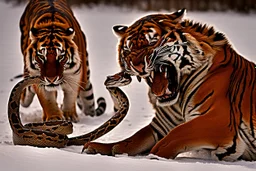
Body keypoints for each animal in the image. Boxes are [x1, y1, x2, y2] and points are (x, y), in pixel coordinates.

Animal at [84, 8, 256, 161]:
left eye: (152, 42)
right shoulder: (161, 126)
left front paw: (154, 157)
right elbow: (130, 141)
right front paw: (97, 147)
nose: (136, 65)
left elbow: (173, 138)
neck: (179, 95)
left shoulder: (218, 120)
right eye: (127, 50)